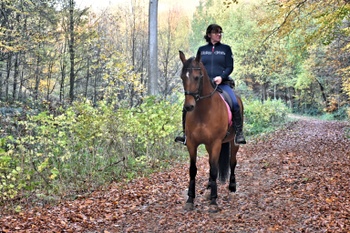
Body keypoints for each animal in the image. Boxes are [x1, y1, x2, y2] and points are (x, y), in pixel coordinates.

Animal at [179, 50, 242, 213]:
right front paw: (190, 200)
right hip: (208, 146)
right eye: (182, 77)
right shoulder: (192, 144)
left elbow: (214, 169)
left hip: (233, 143)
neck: (203, 111)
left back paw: (232, 188)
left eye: (197, 77)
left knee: (232, 162)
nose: (188, 106)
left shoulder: (216, 143)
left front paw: (214, 202)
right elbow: (193, 170)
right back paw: (208, 188)